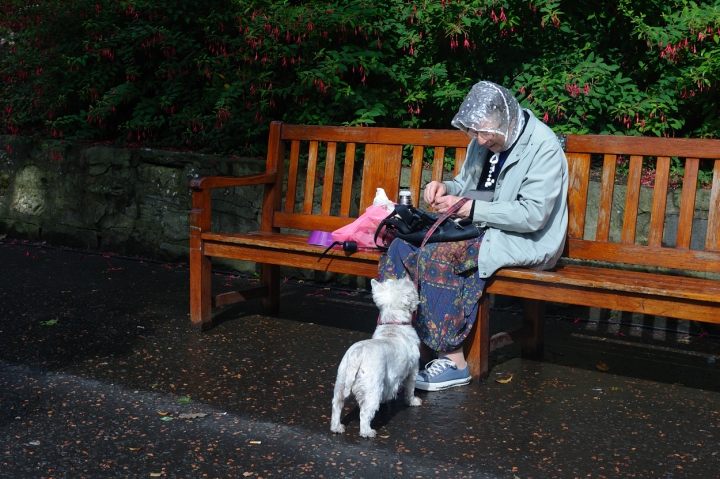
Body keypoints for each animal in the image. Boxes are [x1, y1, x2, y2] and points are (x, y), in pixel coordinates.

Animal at [330, 278, 422, 438]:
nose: (410, 279)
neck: (393, 325)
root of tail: (357, 354)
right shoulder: (413, 370)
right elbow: (410, 389)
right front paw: (414, 401)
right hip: (372, 389)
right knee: (365, 413)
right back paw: (368, 432)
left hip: (342, 381)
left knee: (337, 404)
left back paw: (337, 427)